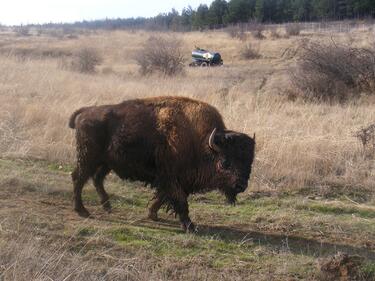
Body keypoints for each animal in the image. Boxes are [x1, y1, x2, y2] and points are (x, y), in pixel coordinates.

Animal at [68, 96, 256, 232]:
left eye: (250, 162)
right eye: (225, 163)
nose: (241, 186)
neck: (201, 143)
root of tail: (86, 111)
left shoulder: (173, 181)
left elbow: (162, 197)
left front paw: (152, 214)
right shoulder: (171, 179)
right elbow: (180, 201)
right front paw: (190, 226)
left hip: (106, 163)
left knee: (96, 179)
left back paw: (107, 207)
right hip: (88, 158)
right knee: (79, 178)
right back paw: (82, 210)